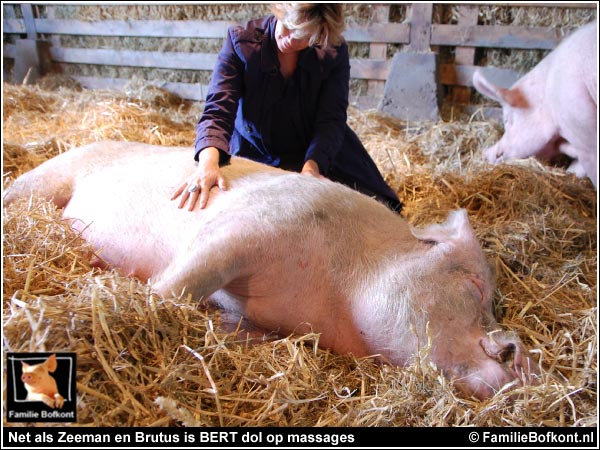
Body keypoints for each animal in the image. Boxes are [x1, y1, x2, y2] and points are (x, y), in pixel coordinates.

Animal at [3, 142, 540, 400]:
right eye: (474, 285)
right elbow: (180, 283)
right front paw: (141, 297)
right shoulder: (245, 227)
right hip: (46, 178)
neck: (334, 296)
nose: (525, 359)